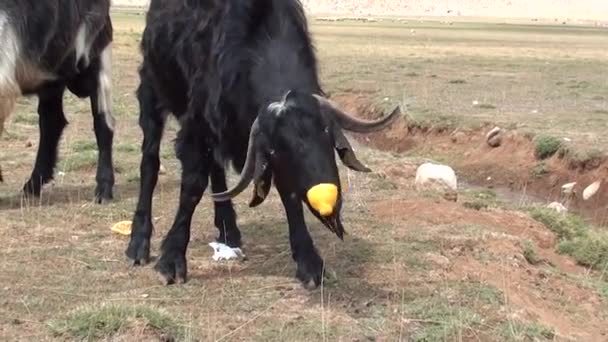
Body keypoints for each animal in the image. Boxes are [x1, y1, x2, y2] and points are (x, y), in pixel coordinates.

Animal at [0, 0, 115, 203]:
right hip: (51, 76)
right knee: (52, 122)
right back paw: (33, 185)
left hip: (96, 57)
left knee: (103, 123)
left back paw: (103, 190)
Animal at [124, 0, 400, 288]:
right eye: (282, 147)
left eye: (326, 134)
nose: (328, 203)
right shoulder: (196, 129)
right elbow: (192, 188)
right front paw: (171, 259)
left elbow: (289, 195)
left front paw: (310, 262)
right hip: (151, 94)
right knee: (150, 163)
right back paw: (138, 243)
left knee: (216, 170)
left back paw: (228, 229)